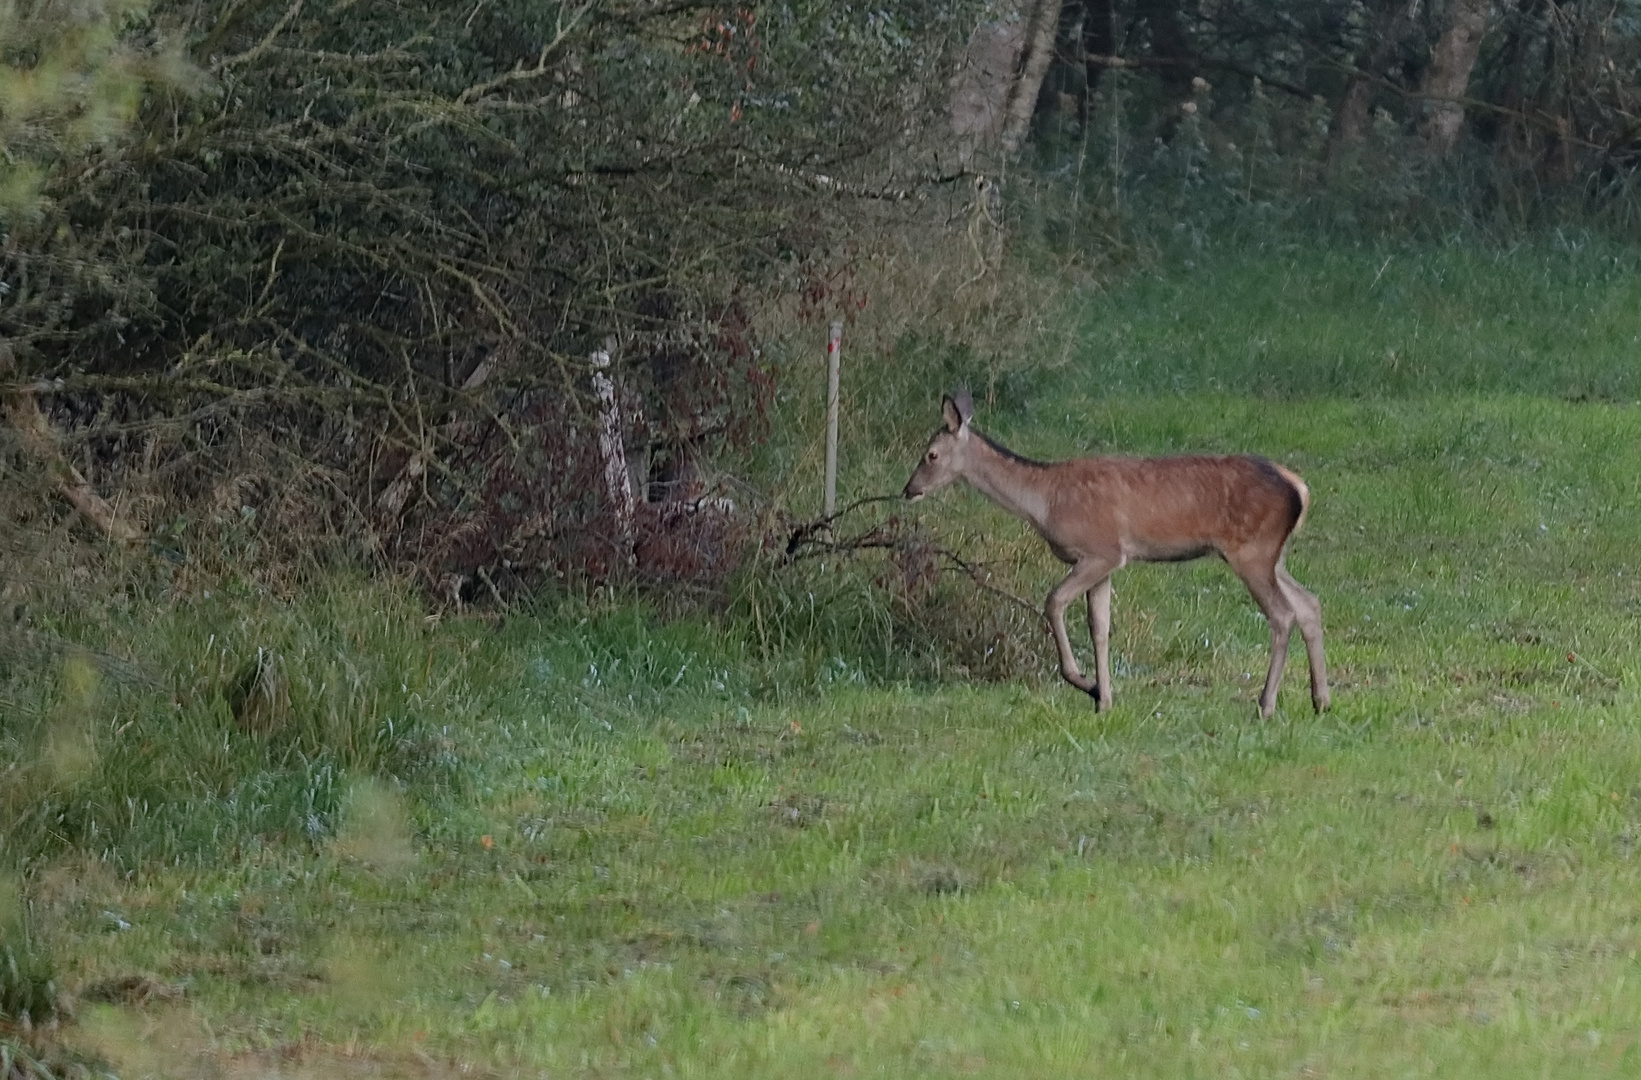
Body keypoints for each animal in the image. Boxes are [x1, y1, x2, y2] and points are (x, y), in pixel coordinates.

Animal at [905, 390, 1325, 718]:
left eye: (931, 455)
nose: (908, 490)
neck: (1044, 501)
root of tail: (1300, 489)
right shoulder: (1103, 565)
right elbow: (1100, 627)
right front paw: (1104, 699)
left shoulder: (1100, 550)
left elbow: (1054, 601)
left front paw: (1086, 684)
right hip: (1272, 554)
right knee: (1309, 602)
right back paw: (1321, 700)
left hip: (1251, 550)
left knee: (1282, 614)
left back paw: (1266, 705)